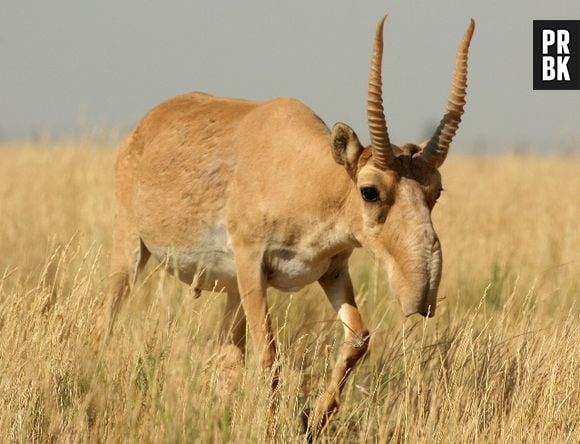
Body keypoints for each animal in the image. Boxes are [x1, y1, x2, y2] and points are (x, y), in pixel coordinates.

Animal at [102, 14, 476, 438]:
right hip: (132, 250)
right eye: (369, 191)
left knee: (226, 359)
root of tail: (145, 125)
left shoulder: (332, 270)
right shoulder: (252, 267)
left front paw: (313, 422)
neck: (306, 175)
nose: (422, 291)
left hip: (231, 291)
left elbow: (358, 338)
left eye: (436, 190)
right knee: (108, 318)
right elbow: (269, 354)